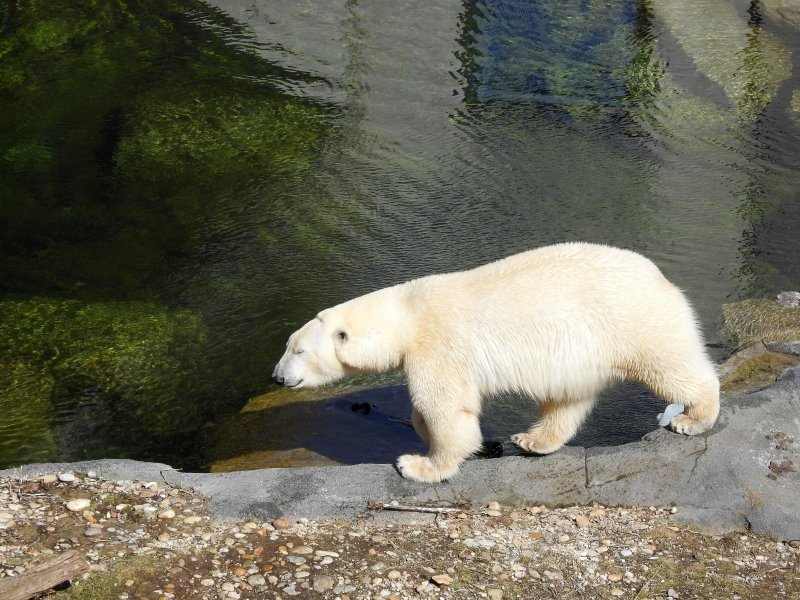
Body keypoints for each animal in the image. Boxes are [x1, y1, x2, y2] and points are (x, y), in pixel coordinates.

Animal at [272, 243, 720, 482]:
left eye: (298, 350)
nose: (276, 376)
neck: (406, 313)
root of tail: (661, 278)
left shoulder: (437, 344)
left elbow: (445, 407)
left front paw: (418, 464)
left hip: (633, 321)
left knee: (670, 365)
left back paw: (691, 418)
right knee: (566, 400)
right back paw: (533, 440)